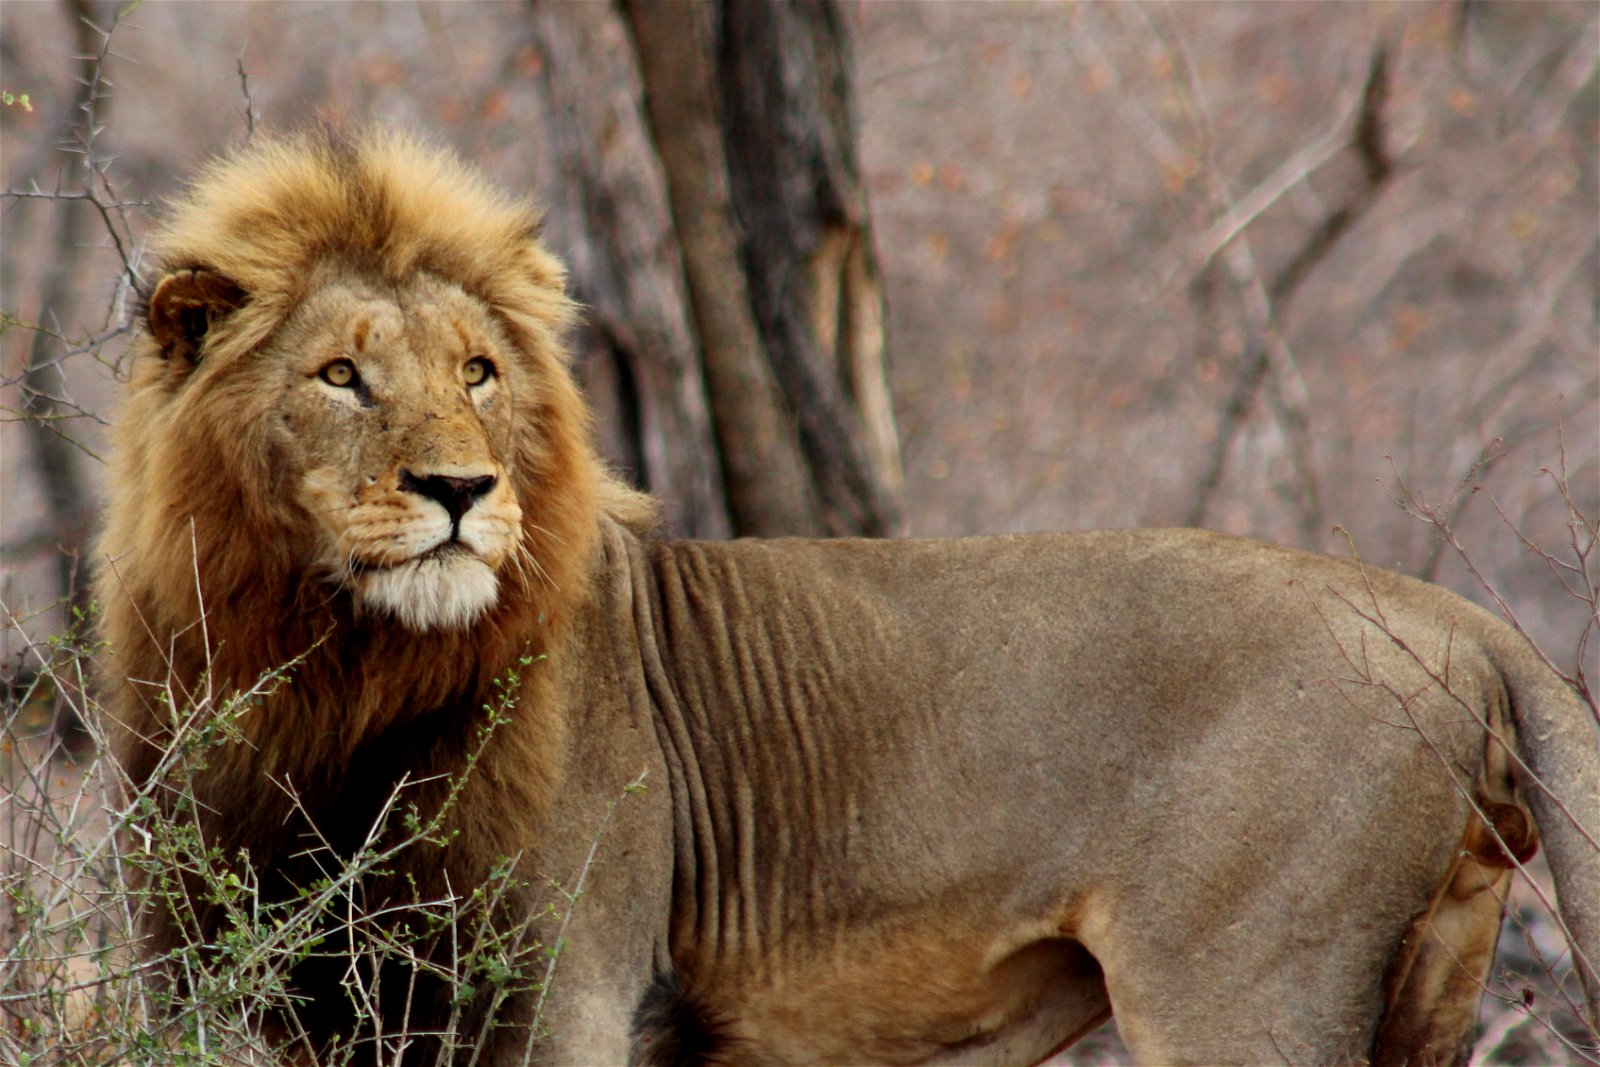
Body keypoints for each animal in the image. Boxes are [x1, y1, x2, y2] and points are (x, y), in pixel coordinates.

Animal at [95, 129, 1599, 1067]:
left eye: (477, 370)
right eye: (341, 375)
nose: (462, 486)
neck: (332, 667)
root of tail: (1460, 615)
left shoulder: (561, 1001)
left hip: (1241, 985)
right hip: (1431, 981)